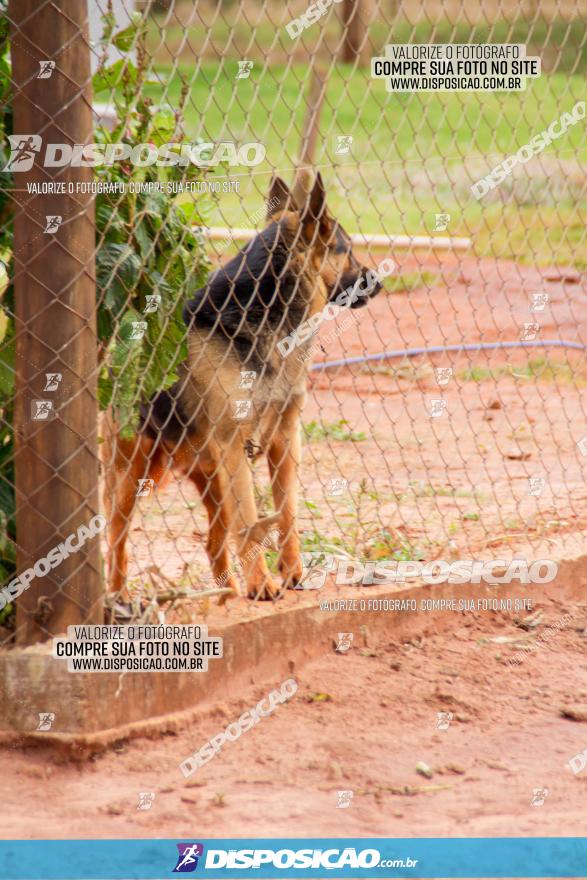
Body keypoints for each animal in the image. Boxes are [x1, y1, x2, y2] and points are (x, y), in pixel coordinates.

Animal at [100, 175, 384, 608]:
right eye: (347, 249)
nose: (380, 282)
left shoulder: (285, 438)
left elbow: (287, 512)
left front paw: (292, 572)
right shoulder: (235, 445)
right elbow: (251, 522)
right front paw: (263, 584)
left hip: (212, 478)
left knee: (214, 541)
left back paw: (227, 593)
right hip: (133, 474)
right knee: (117, 539)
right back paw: (118, 597)